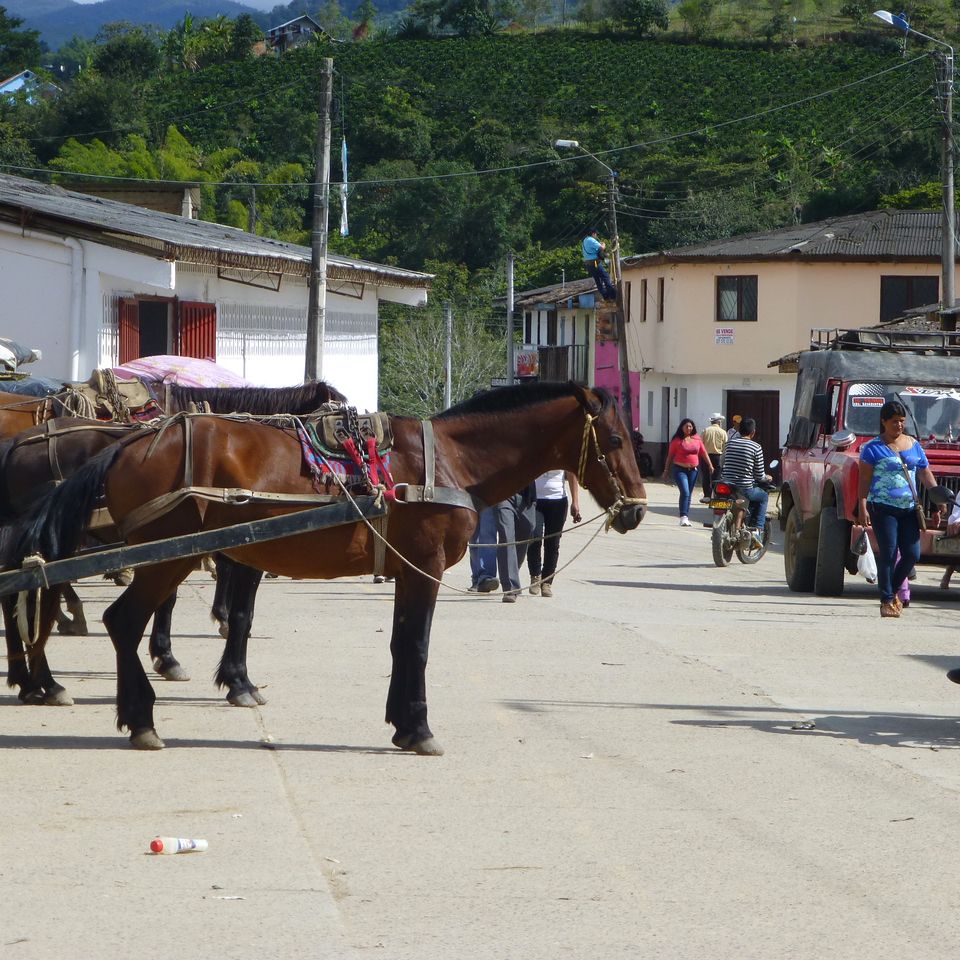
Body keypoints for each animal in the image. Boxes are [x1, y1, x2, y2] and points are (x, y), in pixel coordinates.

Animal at [11, 380, 644, 752]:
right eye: (614, 440)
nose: (637, 508)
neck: (447, 461)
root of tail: (130, 442)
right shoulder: (424, 568)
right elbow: (417, 647)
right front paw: (420, 727)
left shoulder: (404, 572)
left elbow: (399, 644)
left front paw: (400, 722)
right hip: (169, 558)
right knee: (122, 622)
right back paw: (136, 717)